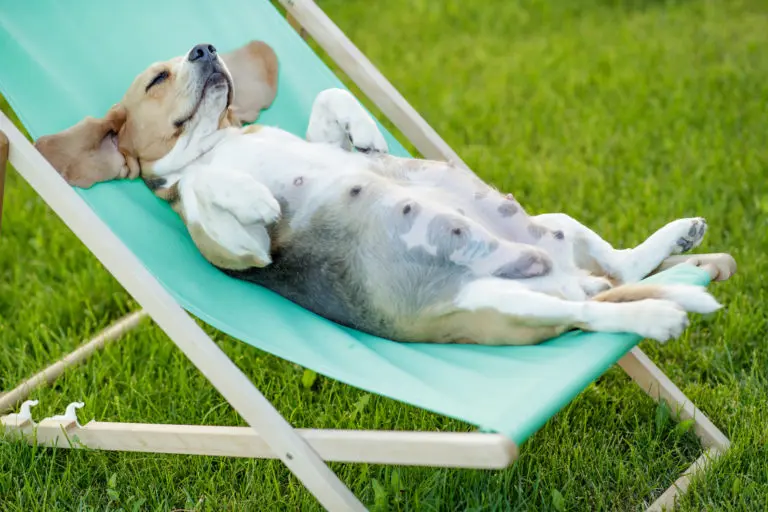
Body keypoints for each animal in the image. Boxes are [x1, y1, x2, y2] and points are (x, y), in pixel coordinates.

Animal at [33, 40, 736, 344]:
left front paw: (366, 133)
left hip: (561, 226)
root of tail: (569, 279)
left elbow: (328, 101)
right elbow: (210, 192)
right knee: (592, 312)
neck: (217, 141)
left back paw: (678, 245)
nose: (205, 47)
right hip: (500, 302)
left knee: (622, 267)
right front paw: (255, 196)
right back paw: (657, 315)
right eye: (157, 79)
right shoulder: (235, 248)